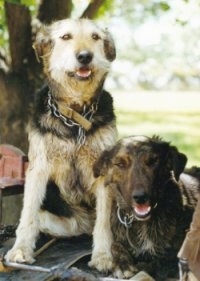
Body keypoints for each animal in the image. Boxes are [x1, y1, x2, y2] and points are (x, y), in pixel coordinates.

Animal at [5, 18, 117, 272]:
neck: (75, 116)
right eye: (66, 37)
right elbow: (28, 215)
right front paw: (20, 250)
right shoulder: (38, 167)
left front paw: (103, 256)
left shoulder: (105, 173)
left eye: (95, 37)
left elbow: (104, 223)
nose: (85, 56)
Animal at [93, 135, 199, 278]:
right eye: (120, 164)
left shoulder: (180, 254)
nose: (140, 197)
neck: (141, 222)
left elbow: (160, 262)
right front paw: (122, 263)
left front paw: (143, 266)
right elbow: (114, 245)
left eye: (153, 161)